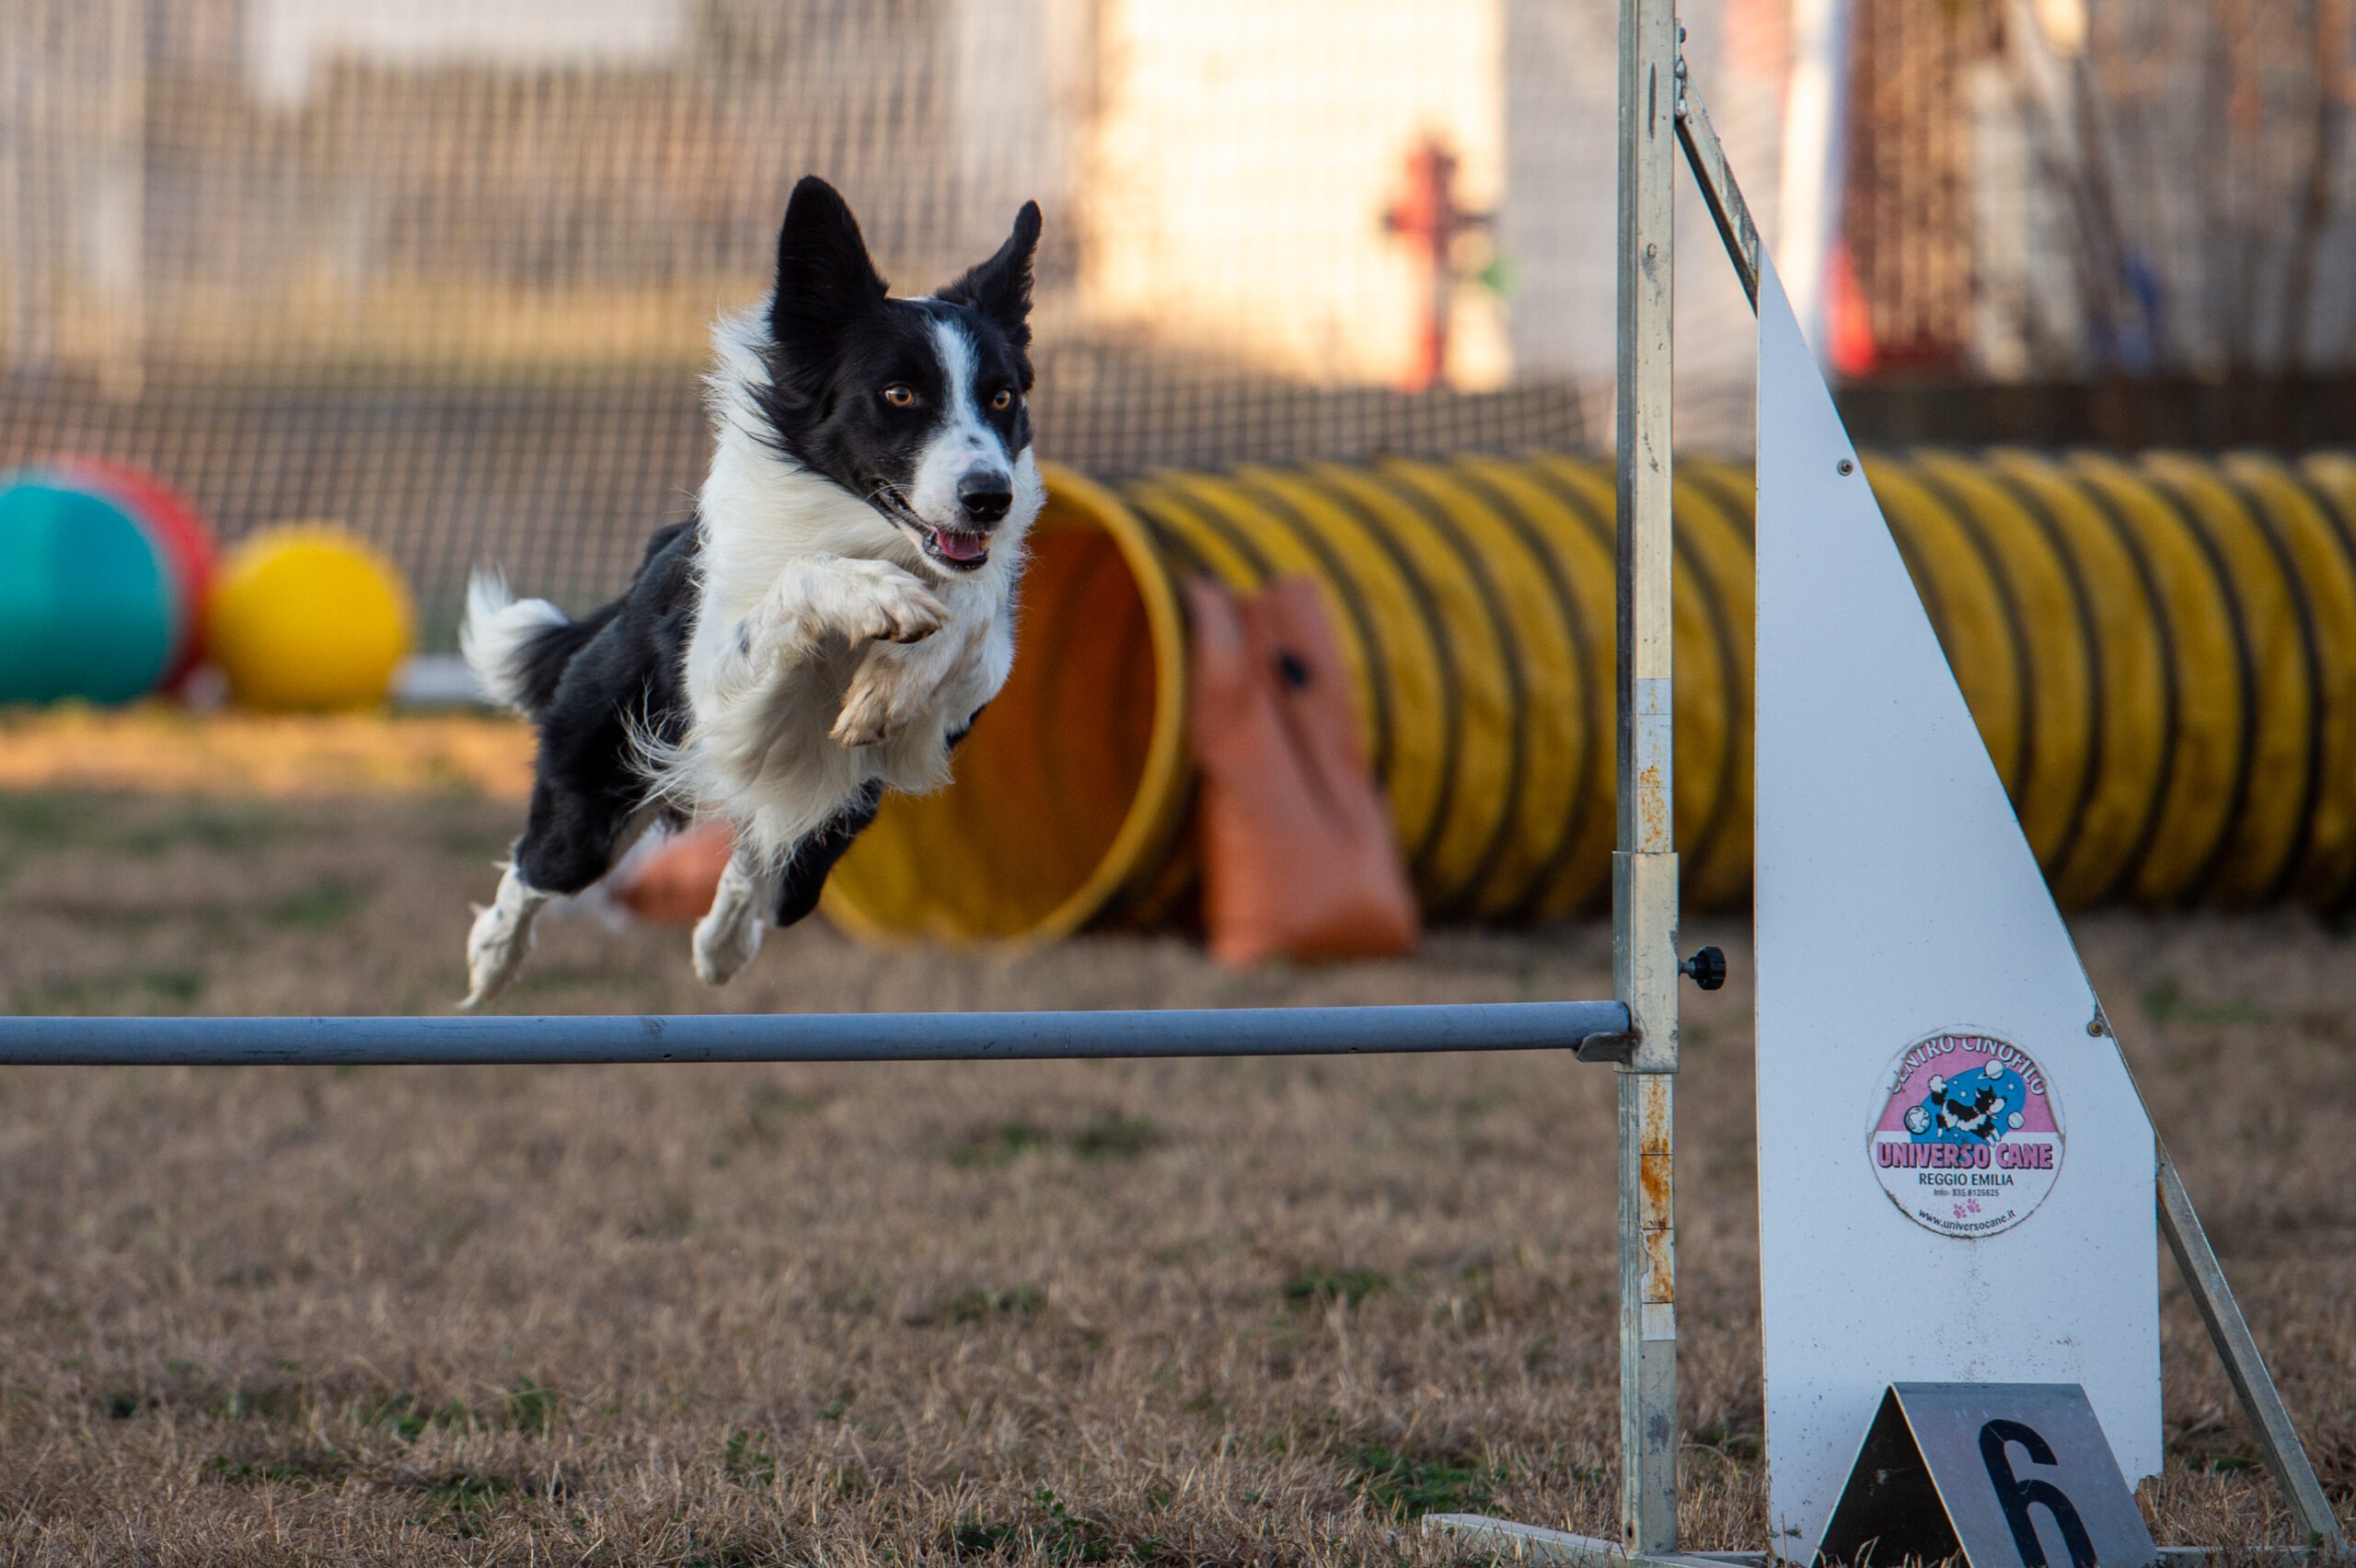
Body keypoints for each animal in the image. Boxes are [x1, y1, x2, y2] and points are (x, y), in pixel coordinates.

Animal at [456, 174, 1041, 1002]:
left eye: (1001, 399)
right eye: (899, 395)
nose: (991, 497)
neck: (863, 527)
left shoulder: (967, 689)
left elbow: (973, 612)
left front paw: (893, 678)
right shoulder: (714, 688)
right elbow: (800, 582)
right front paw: (878, 598)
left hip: (834, 823)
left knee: (770, 857)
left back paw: (723, 943)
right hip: (601, 771)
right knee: (542, 864)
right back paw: (491, 959)